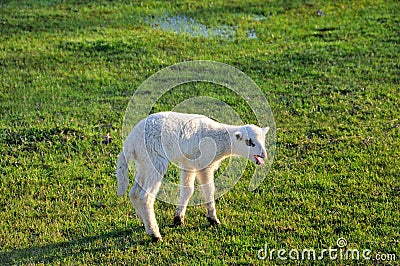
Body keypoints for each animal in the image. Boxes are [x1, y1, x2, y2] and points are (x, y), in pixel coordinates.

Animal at [117, 111, 270, 240]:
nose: (264, 155)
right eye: (249, 142)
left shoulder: (188, 163)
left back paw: (144, 222)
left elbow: (187, 190)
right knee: (145, 197)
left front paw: (178, 219)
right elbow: (209, 190)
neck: (221, 139)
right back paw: (154, 233)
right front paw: (213, 219)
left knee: (134, 193)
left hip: (144, 162)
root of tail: (130, 143)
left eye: (263, 140)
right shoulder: (205, 164)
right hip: (154, 158)